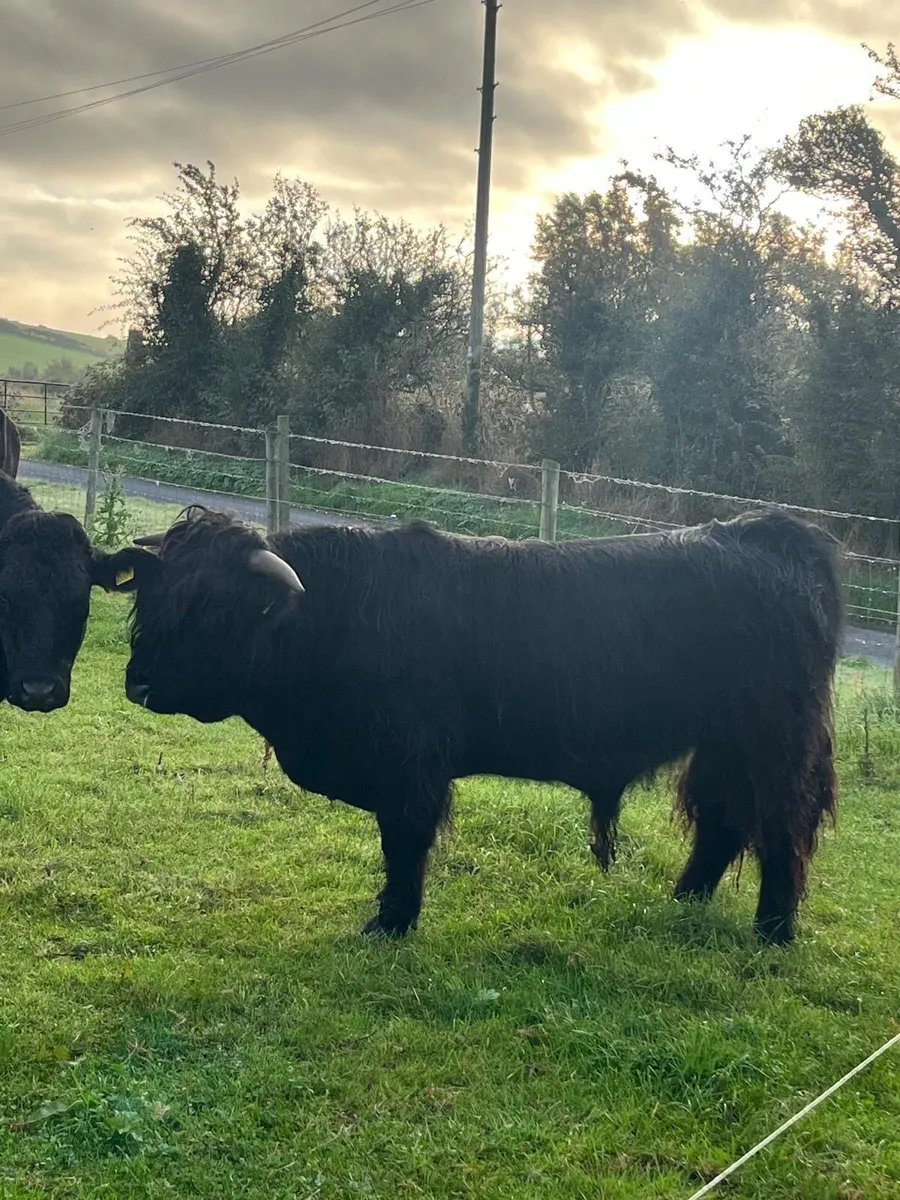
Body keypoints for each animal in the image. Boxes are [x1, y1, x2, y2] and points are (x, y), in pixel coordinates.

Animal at [106, 506, 842, 945]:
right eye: (155, 597)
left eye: (213, 610)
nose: (139, 683)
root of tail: (769, 530)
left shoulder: (412, 765)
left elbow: (404, 844)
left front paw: (391, 922)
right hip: (725, 744)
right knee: (724, 821)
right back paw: (686, 899)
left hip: (773, 741)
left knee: (780, 828)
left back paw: (773, 932)